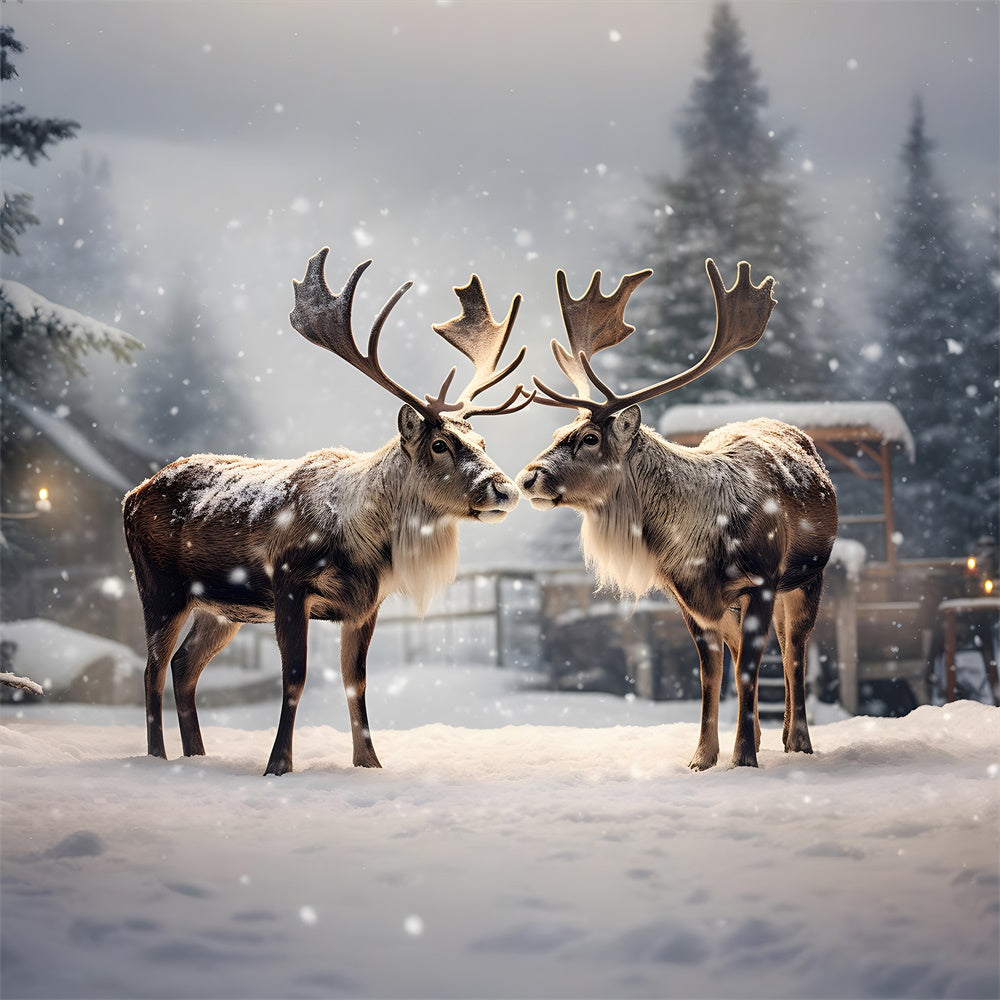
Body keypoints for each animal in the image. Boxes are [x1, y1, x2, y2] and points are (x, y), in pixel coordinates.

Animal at [124, 247, 531, 776]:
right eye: (440, 444)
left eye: (482, 442)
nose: (505, 489)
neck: (362, 542)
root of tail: (130, 496)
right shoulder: (289, 584)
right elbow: (294, 677)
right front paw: (278, 765)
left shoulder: (366, 604)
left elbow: (356, 682)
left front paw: (369, 763)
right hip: (159, 586)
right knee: (151, 668)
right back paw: (157, 757)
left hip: (221, 608)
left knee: (183, 666)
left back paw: (197, 755)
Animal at [516, 259, 838, 769]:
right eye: (557, 432)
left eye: (589, 438)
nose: (527, 477)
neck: (701, 544)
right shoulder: (688, 597)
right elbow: (711, 674)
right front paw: (702, 758)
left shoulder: (762, 581)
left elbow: (750, 669)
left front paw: (744, 759)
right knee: (754, 653)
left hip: (809, 576)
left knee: (794, 651)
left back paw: (798, 741)